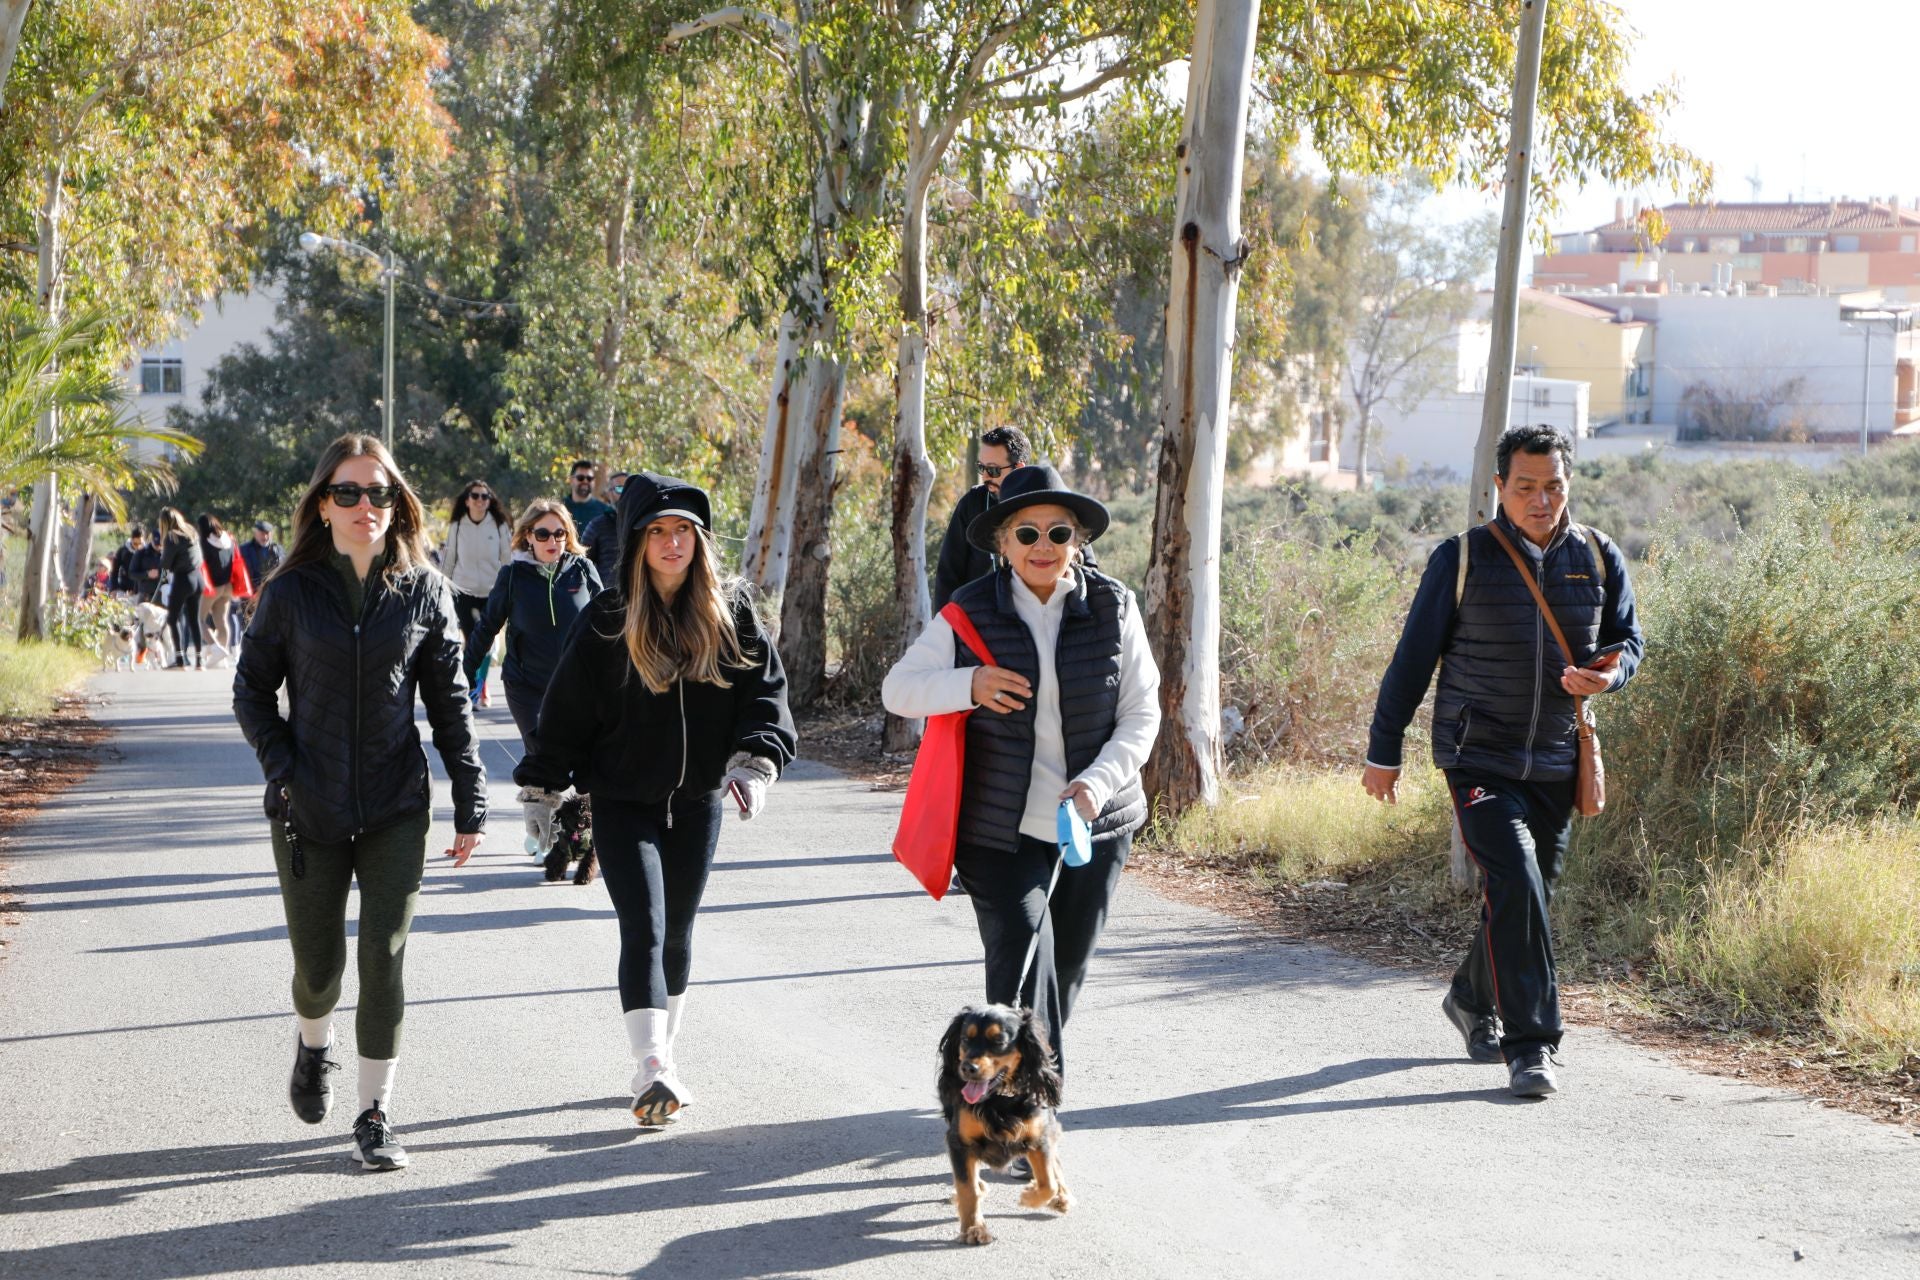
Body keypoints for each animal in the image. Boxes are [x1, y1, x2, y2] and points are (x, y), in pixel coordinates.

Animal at [936, 1005, 1075, 1243]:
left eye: (999, 1040)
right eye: (965, 1039)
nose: (967, 1068)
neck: (999, 1099)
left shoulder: (1038, 1138)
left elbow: (1048, 1182)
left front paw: (1030, 1197)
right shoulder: (959, 1142)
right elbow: (967, 1188)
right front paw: (974, 1228)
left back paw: (1062, 1196)